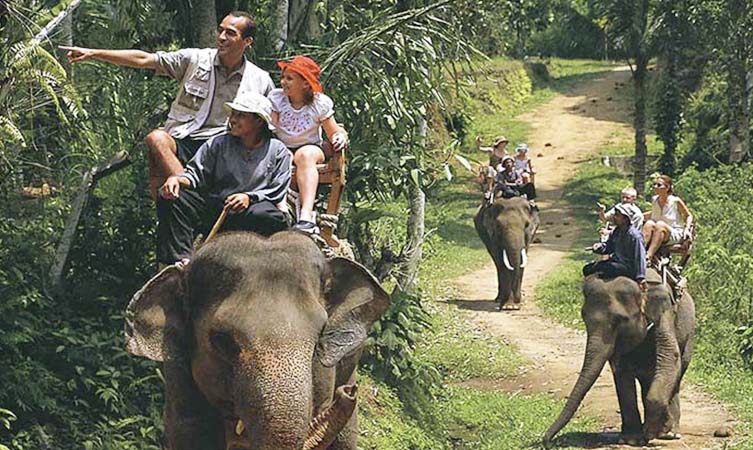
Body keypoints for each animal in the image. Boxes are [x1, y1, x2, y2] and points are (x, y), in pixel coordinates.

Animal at [543, 269, 695, 447]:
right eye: (584, 318)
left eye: (620, 320)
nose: (547, 442)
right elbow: (621, 371)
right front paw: (632, 439)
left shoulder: (665, 312)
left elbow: (670, 355)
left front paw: (653, 431)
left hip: (689, 337)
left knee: (676, 373)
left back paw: (670, 433)